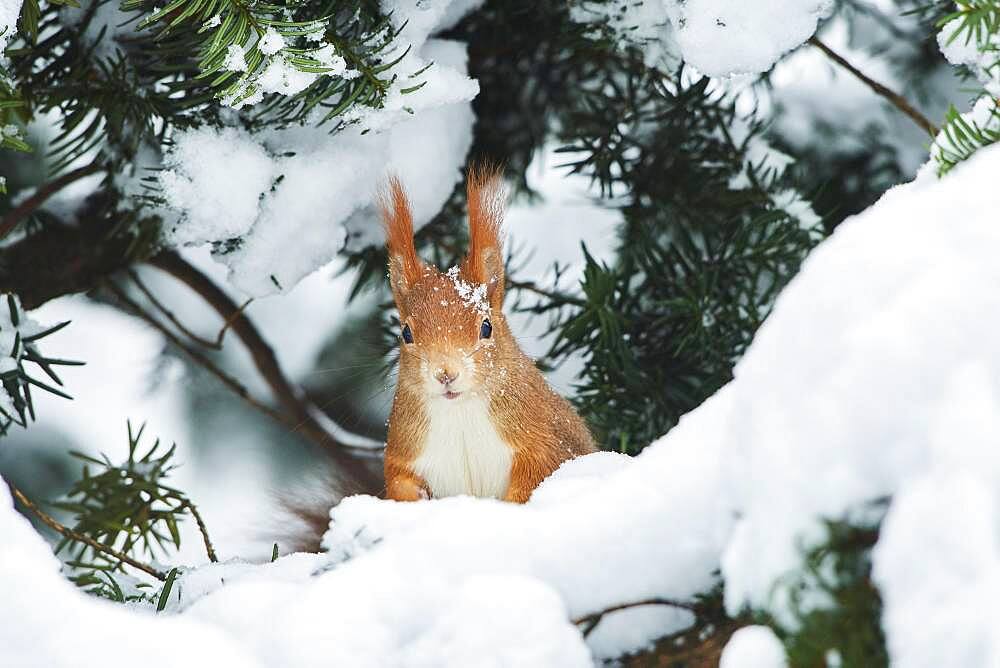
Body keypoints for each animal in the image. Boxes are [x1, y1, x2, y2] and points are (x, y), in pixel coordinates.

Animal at [376, 166, 592, 500]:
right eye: (406, 333)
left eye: (486, 327)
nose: (446, 374)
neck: (460, 411)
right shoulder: (405, 450)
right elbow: (399, 482)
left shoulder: (543, 441)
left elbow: (536, 475)